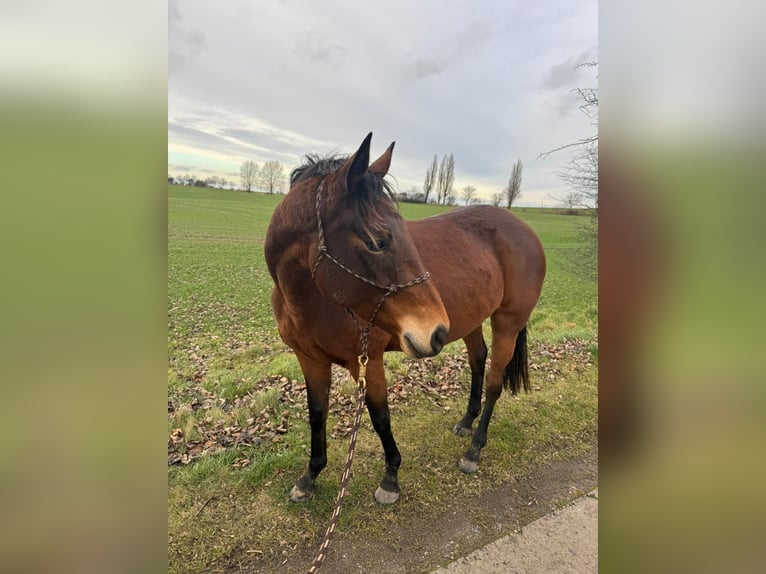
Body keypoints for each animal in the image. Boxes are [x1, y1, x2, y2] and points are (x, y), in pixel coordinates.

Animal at [264, 133, 546, 505]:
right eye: (376, 241)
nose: (436, 332)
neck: (310, 299)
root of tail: (526, 231)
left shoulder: (368, 360)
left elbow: (380, 416)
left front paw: (390, 479)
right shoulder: (309, 359)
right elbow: (316, 414)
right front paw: (310, 476)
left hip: (507, 323)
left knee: (494, 382)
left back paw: (474, 450)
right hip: (471, 321)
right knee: (477, 361)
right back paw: (465, 422)